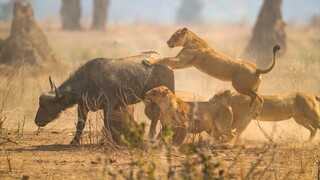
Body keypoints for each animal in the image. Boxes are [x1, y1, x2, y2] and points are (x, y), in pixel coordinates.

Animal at [34, 52, 175, 145]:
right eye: (40, 103)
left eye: (44, 105)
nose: (36, 121)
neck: (88, 81)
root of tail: (168, 65)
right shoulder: (83, 106)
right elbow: (80, 124)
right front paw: (74, 141)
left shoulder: (109, 104)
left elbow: (107, 123)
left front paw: (110, 141)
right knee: (156, 116)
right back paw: (152, 137)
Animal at [142, 26, 280, 116]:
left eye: (174, 36)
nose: (167, 42)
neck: (190, 40)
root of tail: (257, 69)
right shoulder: (182, 62)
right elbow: (164, 59)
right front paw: (150, 55)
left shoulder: (180, 61)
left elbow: (164, 59)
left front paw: (148, 61)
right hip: (252, 87)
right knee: (260, 97)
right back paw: (255, 110)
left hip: (239, 85)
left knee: (256, 96)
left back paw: (252, 108)